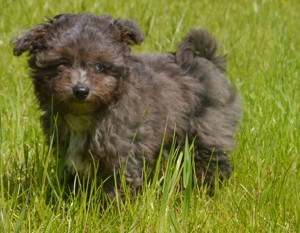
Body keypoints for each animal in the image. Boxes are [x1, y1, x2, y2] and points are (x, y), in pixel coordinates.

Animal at [12, 13, 241, 197]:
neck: (89, 112)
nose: (81, 90)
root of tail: (206, 61)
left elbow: (119, 184)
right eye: (62, 63)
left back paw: (206, 191)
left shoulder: (123, 151)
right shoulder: (65, 148)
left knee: (212, 160)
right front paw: (70, 199)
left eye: (100, 67)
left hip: (208, 128)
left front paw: (112, 213)